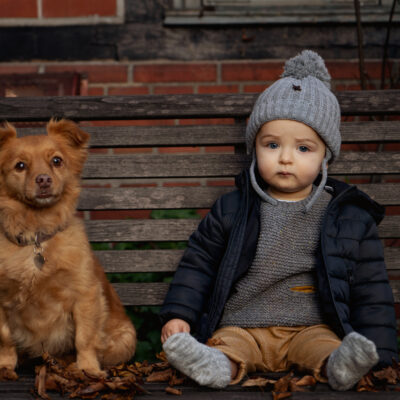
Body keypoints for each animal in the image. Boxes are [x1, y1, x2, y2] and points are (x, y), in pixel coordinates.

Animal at [0, 119, 138, 378]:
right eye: (20, 166)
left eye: (57, 161)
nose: (43, 179)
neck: (38, 234)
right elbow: (5, 337)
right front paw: (4, 366)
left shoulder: (85, 294)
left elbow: (85, 337)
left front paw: (88, 369)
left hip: (126, 340)